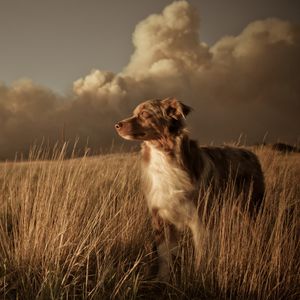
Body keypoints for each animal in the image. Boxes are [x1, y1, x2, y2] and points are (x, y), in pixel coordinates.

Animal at [113, 97, 264, 280]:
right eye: (134, 113)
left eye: (144, 114)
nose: (117, 125)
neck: (163, 156)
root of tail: (251, 154)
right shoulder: (160, 218)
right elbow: (165, 256)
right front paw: (162, 279)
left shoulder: (200, 219)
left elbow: (201, 254)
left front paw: (198, 276)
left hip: (251, 209)